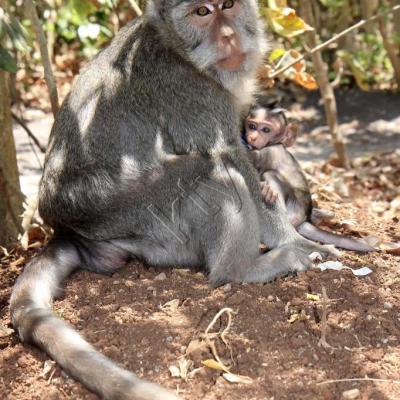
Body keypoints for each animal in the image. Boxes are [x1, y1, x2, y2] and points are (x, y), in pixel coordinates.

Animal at [10, 1, 334, 398]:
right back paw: (242, 269)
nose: (228, 36)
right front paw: (297, 241)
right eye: (202, 12)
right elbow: (232, 155)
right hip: (144, 221)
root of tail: (71, 235)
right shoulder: (192, 92)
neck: (182, 52)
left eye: (228, 6)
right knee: (213, 171)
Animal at [244, 104, 376, 252]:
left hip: (294, 210)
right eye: (252, 126)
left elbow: (250, 157)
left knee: (269, 174)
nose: (252, 137)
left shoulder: (270, 152)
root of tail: (305, 219)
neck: (276, 143)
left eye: (266, 129)